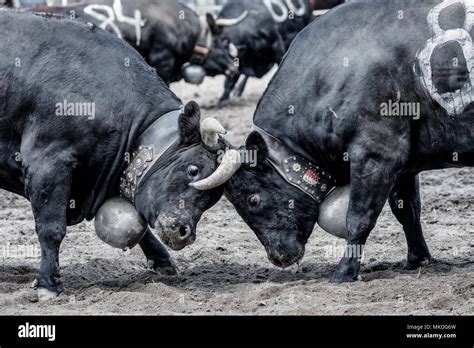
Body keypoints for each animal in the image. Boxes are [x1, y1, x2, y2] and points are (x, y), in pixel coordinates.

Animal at [0, 10, 230, 300]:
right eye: (193, 169)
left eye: (213, 198)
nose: (184, 233)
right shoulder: (47, 162)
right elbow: (51, 228)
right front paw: (48, 284)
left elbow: (140, 225)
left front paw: (162, 261)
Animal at [187, 0, 472, 282]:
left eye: (253, 200)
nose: (278, 257)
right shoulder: (404, 165)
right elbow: (408, 211)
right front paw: (417, 259)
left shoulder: (376, 155)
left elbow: (358, 217)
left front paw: (344, 271)